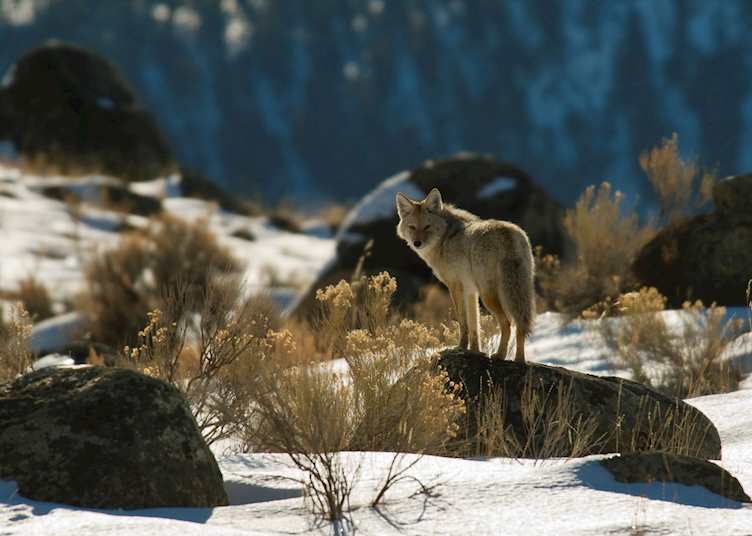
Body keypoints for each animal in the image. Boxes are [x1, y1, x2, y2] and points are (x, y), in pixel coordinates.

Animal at [395, 188, 535, 362]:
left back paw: (500, 355)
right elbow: (475, 325)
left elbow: (463, 322)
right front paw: (475, 350)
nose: (417, 243)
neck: (444, 240)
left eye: (427, 226)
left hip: (488, 296)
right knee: (520, 325)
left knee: (507, 323)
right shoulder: (471, 291)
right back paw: (519, 360)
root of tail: (507, 234)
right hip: (517, 293)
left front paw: (460, 347)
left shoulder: (455, 286)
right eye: (412, 227)